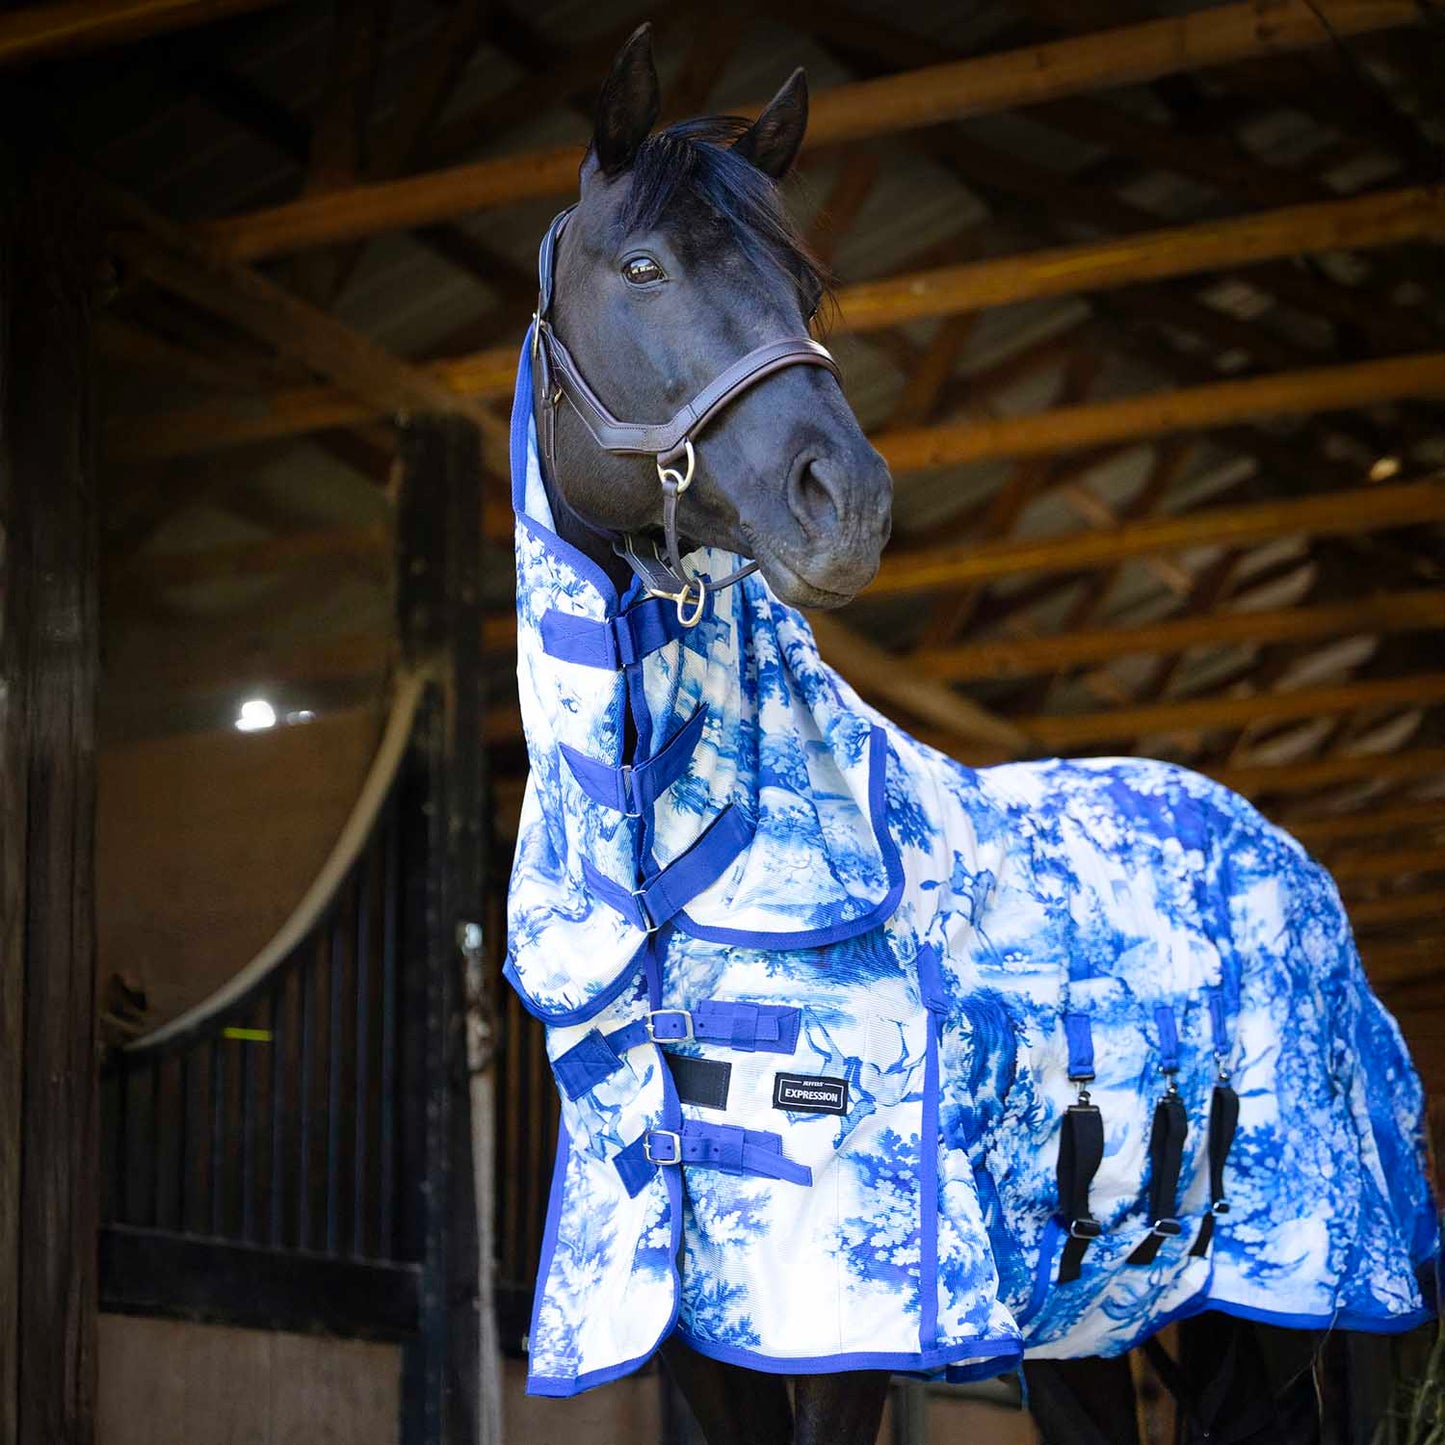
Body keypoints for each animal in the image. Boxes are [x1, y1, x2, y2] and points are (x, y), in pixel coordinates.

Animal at [502, 27, 1438, 1444]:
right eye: (643, 267)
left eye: (803, 285)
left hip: (1294, 1310)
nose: (846, 500)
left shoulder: (838, 1326)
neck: (676, 881)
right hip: (1096, 1335)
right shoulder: (687, 1331)